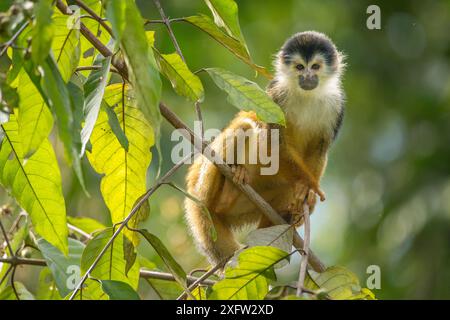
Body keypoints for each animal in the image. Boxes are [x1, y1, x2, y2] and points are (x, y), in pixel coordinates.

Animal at [185, 31, 346, 264]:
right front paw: (307, 184)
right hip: (203, 187)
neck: (305, 95)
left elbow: (320, 147)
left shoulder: (337, 106)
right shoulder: (277, 96)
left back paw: (287, 216)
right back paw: (228, 189)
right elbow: (272, 140)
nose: (307, 77)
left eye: (315, 67)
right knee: (245, 126)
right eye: (300, 67)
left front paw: (308, 194)